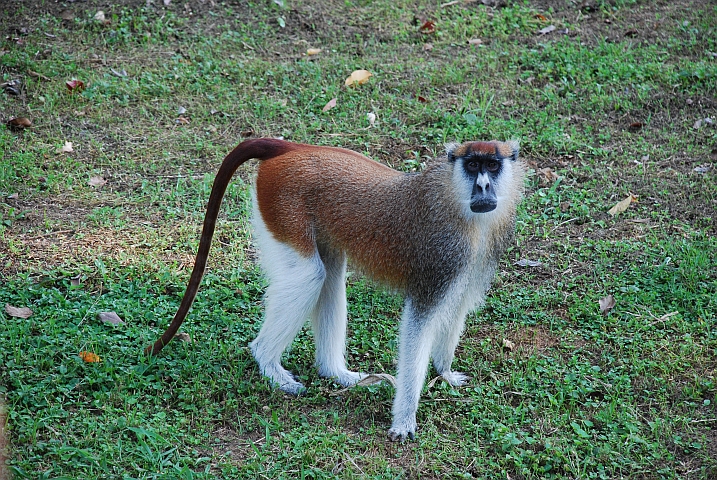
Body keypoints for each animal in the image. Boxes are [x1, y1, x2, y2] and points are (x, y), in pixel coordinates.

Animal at [146, 137, 525, 441]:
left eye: (493, 165)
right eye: (472, 165)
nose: (483, 187)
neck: (455, 199)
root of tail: (290, 148)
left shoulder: (474, 257)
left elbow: (457, 308)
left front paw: (445, 374)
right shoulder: (442, 256)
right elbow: (418, 324)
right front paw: (404, 420)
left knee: (329, 275)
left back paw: (335, 372)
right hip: (281, 204)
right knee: (309, 277)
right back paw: (268, 362)